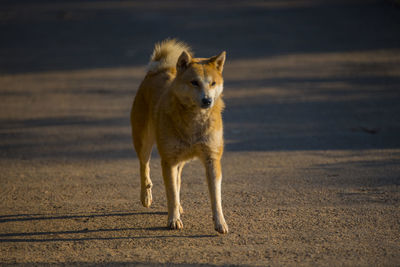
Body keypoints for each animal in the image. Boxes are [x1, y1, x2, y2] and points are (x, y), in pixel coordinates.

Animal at [130, 39, 227, 234]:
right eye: (194, 82)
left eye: (213, 83)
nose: (207, 101)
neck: (194, 121)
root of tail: (157, 70)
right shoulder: (168, 160)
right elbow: (171, 193)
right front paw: (173, 220)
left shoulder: (212, 159)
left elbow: (215, 197)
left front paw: (220, 222)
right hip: (144, 142)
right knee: (144, 167)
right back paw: (146, 196)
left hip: (179, 158)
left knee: (178, 180)